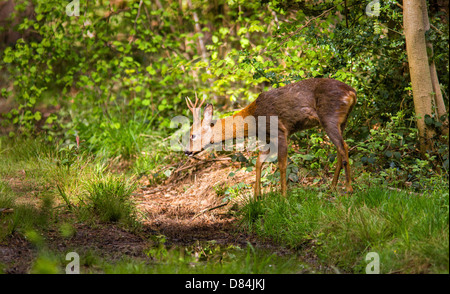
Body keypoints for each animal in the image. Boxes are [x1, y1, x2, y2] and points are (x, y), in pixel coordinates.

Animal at [185, 78, 356, 199]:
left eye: (193, 134)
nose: (187, 151)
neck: (253, 118)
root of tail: (352, 93)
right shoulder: (268, 138)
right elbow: (259, 161)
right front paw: (257, 197)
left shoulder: (280, 131)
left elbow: (282, 165)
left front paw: (283, 196)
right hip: (342, 121)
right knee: (340, 149)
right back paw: (332, 187)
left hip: (329, 116)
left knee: (343, 147)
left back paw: (349, 188)